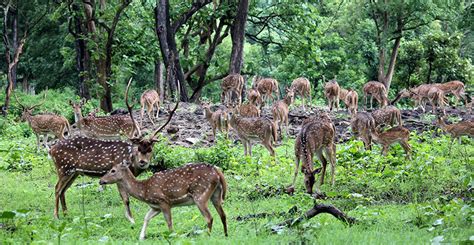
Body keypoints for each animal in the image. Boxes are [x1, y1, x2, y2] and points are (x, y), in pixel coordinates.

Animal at [49, 78, 180, 222]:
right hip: (64, 168)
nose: (143, 162)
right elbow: (126, 199)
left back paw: (66, 214)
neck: (131, 163)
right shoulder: (118, 175)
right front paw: (131, 219)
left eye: (151, 149)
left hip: (74, 172)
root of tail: (51, 150)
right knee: (57, 188)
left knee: (63, 190)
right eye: (138, 148)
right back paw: (56, 216)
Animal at [99, 162, 229, 240]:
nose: (101, 180)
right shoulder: (155, 207)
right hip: (216, 195)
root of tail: (217, 171)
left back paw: (207, 236)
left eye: (113, 170)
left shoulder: (164, 201)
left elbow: (169, 222)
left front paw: (172, 236)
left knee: (209, 217)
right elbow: (146, 218)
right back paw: (226, 235)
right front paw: (141, 237)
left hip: (200, 195)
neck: (144, 190)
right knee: (223, 215)